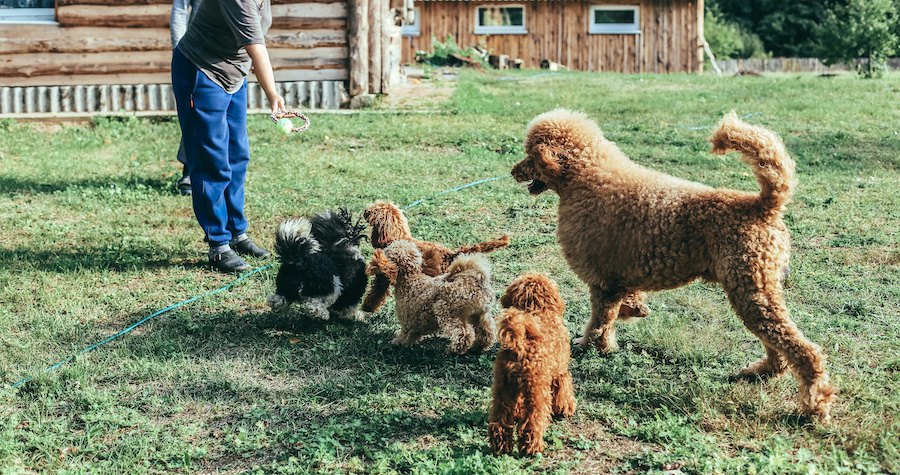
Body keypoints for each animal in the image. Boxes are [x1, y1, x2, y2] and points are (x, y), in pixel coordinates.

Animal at [362, 199, 510, 314]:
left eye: (374, 209)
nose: (364, 211)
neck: (396, 237)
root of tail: (450, 255)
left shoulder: (386, 276)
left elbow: (377, 288)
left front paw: (367, 307)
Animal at [488, 276, 572, 458]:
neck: (539, 310)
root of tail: (520, 346)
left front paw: (517, 412)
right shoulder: (560, 371)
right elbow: (564, 390)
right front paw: (565, 408)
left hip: (503, 386)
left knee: (499, 420)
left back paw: (500, 446)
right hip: (536, 391)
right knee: (533, 421)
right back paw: (532, 448)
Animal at [512, 109, 836, 422]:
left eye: (531, 155)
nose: (513, 171)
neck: (584, 178)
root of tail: (763, 205)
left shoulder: (602, 282)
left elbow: (599, 322)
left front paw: (590, 346)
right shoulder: (617, 278)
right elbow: (618, 308)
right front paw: (634, 311)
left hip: (750, 290)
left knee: (803, 350)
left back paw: (814, 406)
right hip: (757, 290)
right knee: (778, 346)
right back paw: (760, 373)